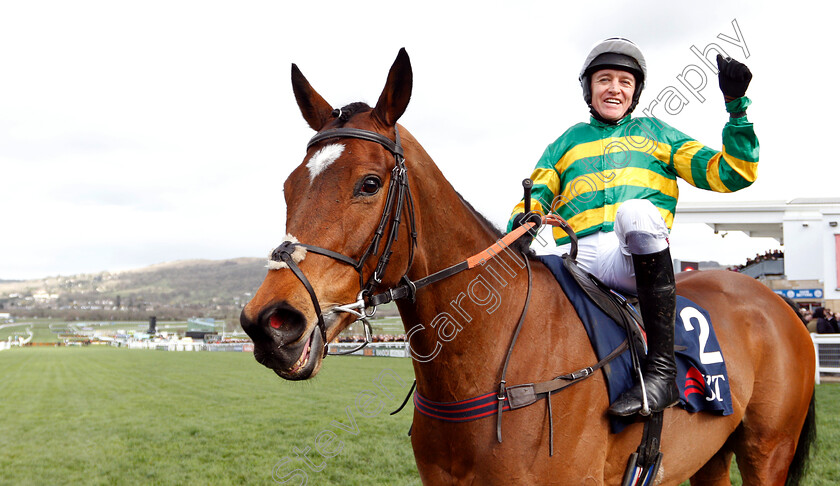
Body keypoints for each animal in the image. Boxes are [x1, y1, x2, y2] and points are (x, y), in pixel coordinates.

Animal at [240, 50, 816, 486]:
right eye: (289, 186)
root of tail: (778, 304)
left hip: (768, 449)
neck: (491, 364)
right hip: (710, 456)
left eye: (369, 183)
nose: (271, 323)